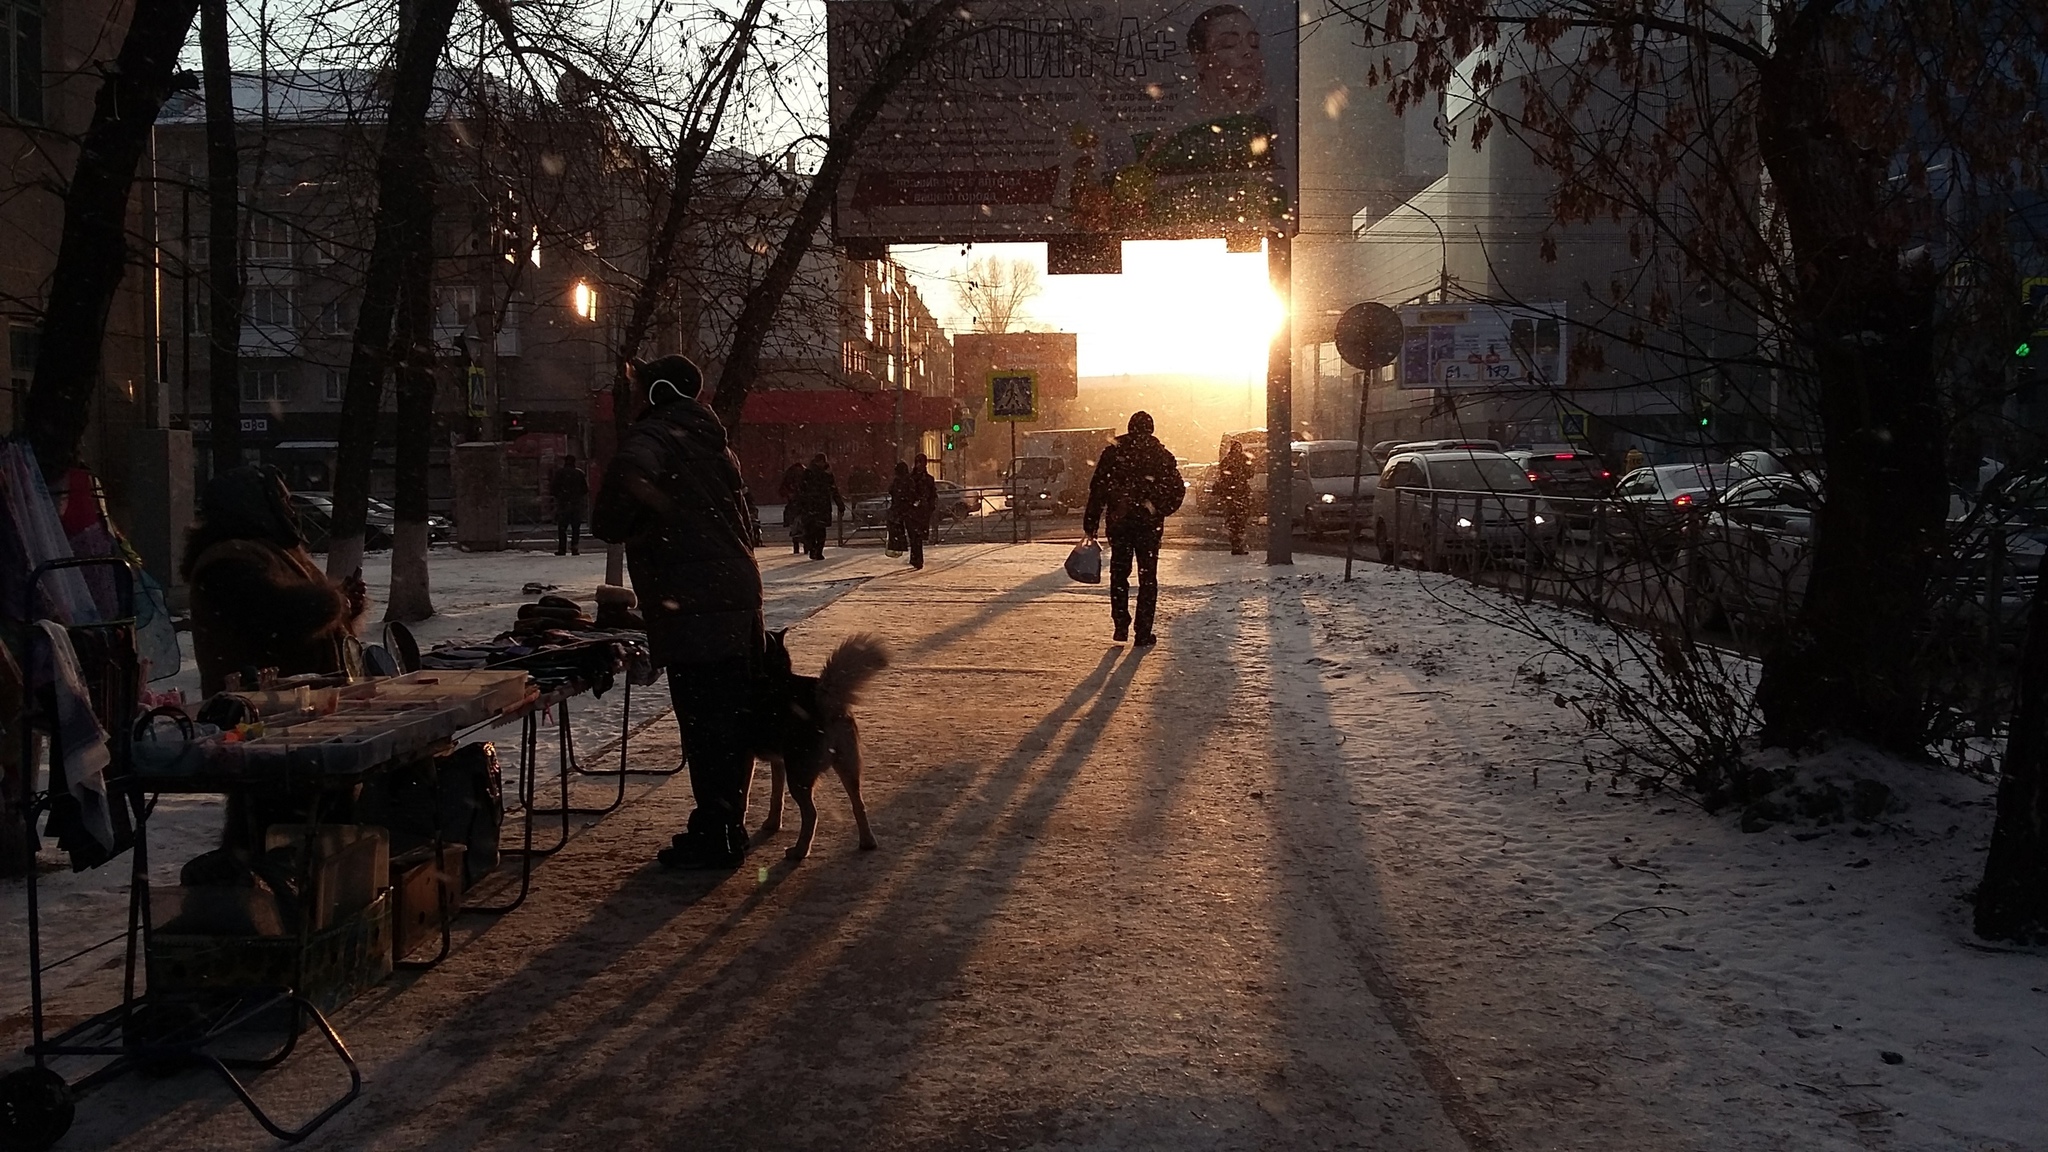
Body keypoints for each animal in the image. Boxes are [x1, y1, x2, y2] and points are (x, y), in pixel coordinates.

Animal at [749, 627, 884, 860]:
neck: (776, 674)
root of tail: (824, 699)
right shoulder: (779, 761)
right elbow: (776, 795)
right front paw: (772, 823)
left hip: (799, 776)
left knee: (811, 814)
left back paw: (799, 851)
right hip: (847, 765)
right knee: (858, 804)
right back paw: (867, 841)